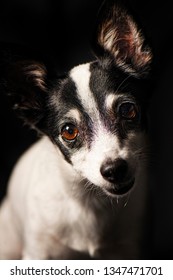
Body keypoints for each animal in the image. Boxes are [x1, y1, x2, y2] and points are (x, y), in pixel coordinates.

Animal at [0, 0, 151, 260]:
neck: (89, 202)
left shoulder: (126, 250)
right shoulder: (38, 252)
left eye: (127, 110)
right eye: (69, 131)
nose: (115, 170)